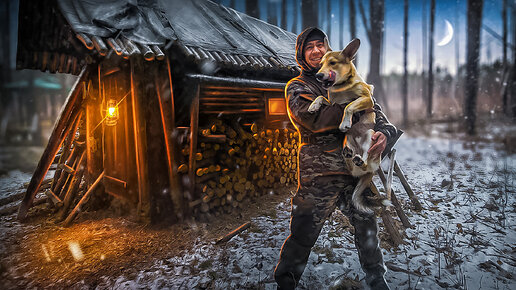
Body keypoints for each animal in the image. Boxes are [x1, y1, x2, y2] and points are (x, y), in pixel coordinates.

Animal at [306, 39, 388, 213]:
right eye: (321, 64)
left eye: (332, 63)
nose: (318, 75)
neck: (341, 87)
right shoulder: (332, 103)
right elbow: (321, 97)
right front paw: (313, 106)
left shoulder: (367, 100)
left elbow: (349, 106)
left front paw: (345, 122)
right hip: (348, 139)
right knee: (353, 163)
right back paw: (349, 154)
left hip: (370, 136)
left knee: (365, 159)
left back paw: (360, 159)